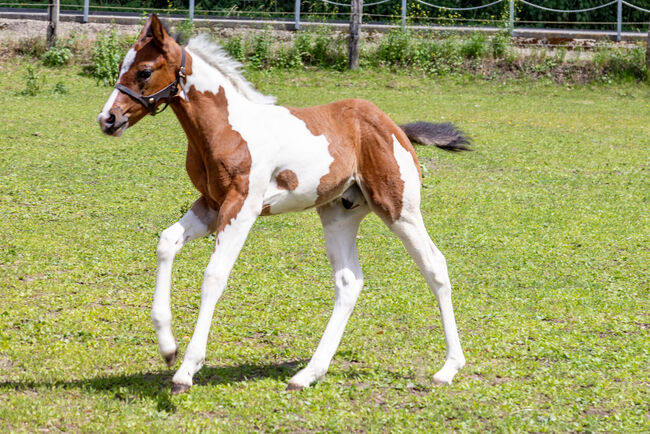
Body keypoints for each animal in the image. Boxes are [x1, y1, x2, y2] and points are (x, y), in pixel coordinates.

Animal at [97, 14, 469, 394]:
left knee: (435, 267)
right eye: (122, 65)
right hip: (339, 214)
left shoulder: (242, 208)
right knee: (349, 281)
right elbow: (167, 242)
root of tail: (396, 128)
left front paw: (186, 369)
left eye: (144, 71)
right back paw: (308, 374)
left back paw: (449, 368)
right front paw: (168, 348)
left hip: (399, 209)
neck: (226, 129)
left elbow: (214, 275)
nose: (108, 119)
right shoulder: (212, 205)